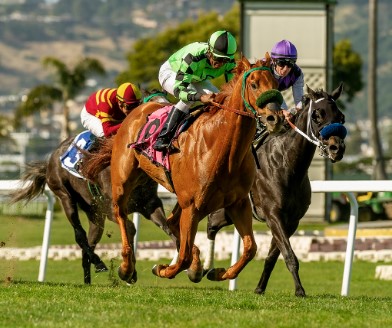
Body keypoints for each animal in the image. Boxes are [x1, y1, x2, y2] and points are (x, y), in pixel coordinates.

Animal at [83, 54, 284, 284]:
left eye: (276, 84)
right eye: (254, 84)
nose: (275, 118)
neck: (223, 149)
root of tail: (135, 112)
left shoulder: (238, 203)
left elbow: (250, 248)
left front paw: (218, 272)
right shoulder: (192, 205)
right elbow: (184, 256)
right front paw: (163, 269)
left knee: (170, 222)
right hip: (123, 180)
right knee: (121, 214)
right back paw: (126, 267)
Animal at [205, 83, 346, 296]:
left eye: (340, 117)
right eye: (317, 115)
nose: (336, 148)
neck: (287, 166)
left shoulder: (292, 221)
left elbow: (272, 257)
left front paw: (260, 288)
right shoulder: (274, 215)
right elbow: (289, 255)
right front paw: (300, 290)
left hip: (228, 213)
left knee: (211, 226)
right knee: (206, 225)